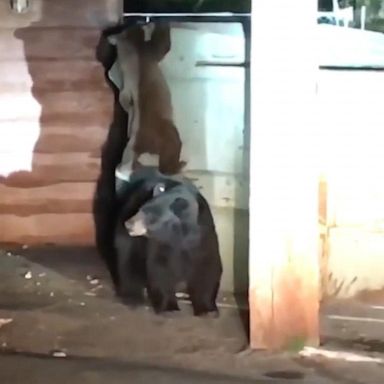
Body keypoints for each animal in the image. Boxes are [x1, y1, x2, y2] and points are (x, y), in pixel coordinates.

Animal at [114, 172, 222, 316]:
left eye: (151, 216)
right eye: (141, 209)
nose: (129, 224)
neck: (179, 236)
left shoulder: (203, 237)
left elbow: (207, 267)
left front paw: (207, 309)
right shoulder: (162, 244)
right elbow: (160, 268)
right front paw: (169, 307)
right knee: (127, 258)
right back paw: (132, 296)